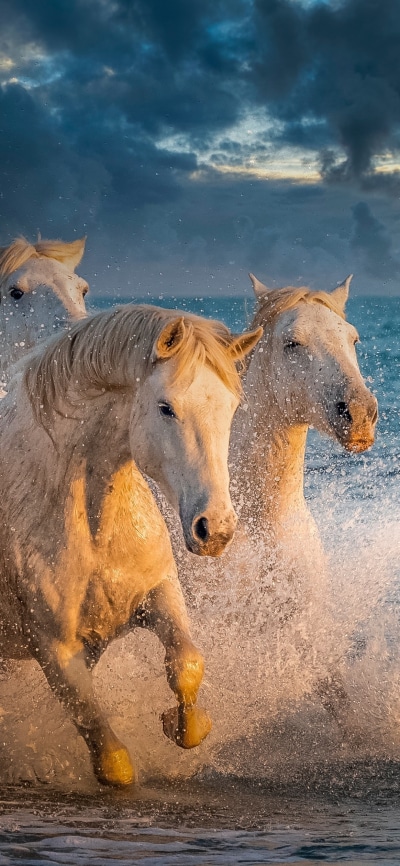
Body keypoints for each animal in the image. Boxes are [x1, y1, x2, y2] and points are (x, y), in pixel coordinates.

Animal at [0, 303, 261, 786]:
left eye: (232, 407)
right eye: (166, 407)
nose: (215, 529)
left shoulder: (157, 594)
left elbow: (187, 662)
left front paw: (185, 726)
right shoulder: (53, 646)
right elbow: (112, 761)